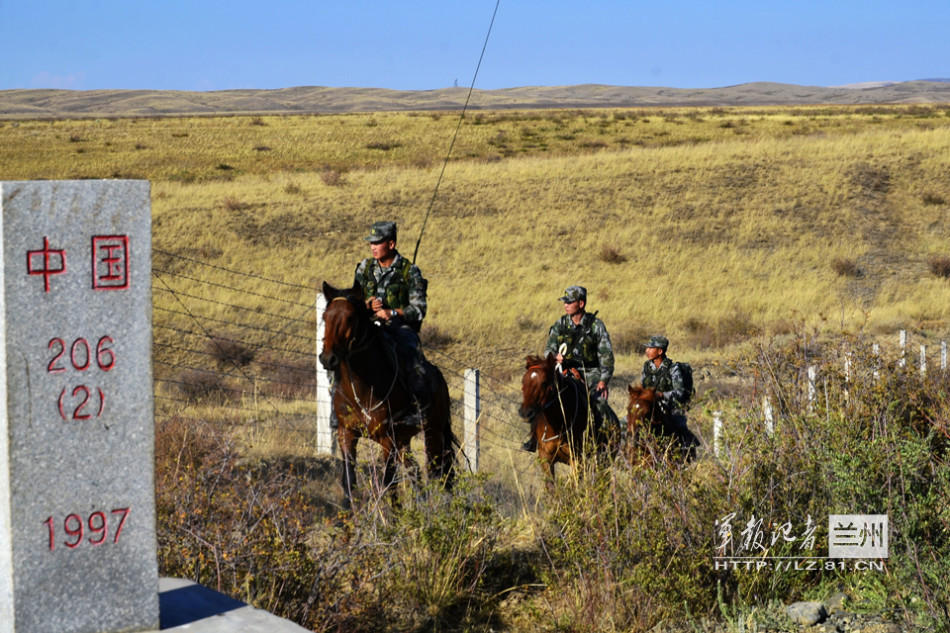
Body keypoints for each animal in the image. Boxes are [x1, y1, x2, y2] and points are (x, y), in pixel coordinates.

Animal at [320, 282, 458, 508]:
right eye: (325, 316)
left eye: (350, 317)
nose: (328, 358)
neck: (364, 389)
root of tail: (439, 377)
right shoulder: (346, 433)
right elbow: (349, 480)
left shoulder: (387, 439)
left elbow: (388, 483)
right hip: (404, 441)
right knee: (414, 471)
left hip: (433, 433)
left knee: (437, 474)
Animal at [520, 350, 596, 478]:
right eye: (523, 381)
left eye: (544, 383)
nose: (526, 413)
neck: (558, 425)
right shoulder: (545, 459)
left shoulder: (577, 460)